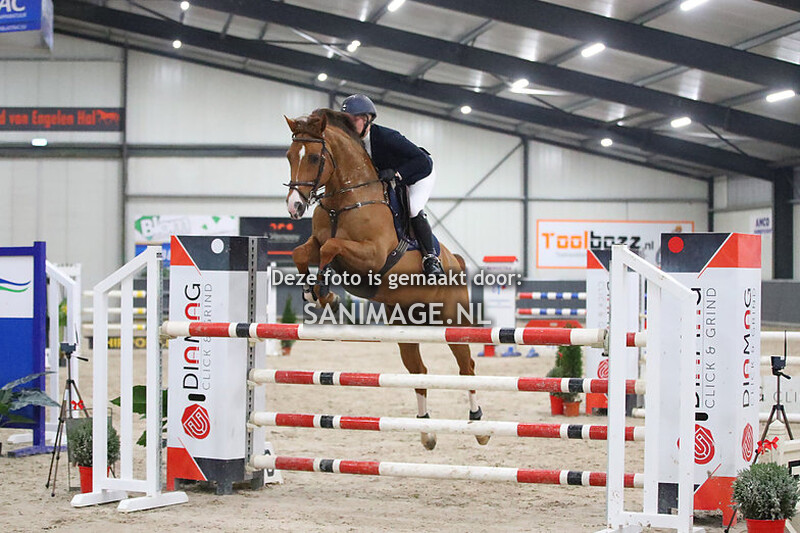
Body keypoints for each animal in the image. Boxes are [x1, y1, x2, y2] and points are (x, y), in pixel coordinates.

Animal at [283, 108, 488, 450]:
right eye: (288, 156)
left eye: (313, 157)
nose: (294, 206)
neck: (344, 200)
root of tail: (455, 260)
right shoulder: (318, 244)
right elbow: (303, 252)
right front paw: (316, 293)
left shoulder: (373, 255)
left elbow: (330, 247)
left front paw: (326, 293)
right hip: (405, 325)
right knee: (419, 371)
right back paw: (426, 431)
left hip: (452, 321)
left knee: (466, 367)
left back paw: (479, 425)